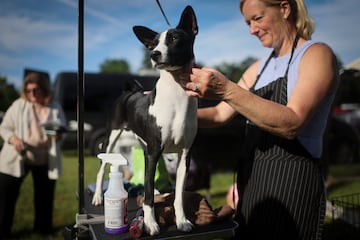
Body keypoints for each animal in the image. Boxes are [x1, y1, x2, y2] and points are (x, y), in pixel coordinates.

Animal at [92, 6, 200, 236]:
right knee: (101, 169)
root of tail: (129, 91)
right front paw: (150, 224)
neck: (176, 97)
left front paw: (182, 221)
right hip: (111, 139)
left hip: (142, 146)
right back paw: (97, 197)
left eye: (175, 38)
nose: (154, 54)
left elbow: (178, 195)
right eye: (154, 43)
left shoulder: (184, 155)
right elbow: (148, 196)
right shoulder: (153, 152)